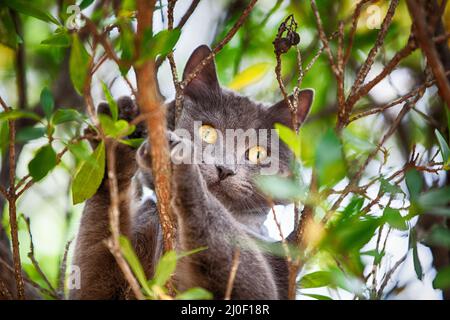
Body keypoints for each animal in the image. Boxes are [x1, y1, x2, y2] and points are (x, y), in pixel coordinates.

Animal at [71, 45, 312, 300]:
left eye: (258, 153)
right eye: (207, 132)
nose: (225, 169)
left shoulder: (277, 262)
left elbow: (256, 283)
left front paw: (181, 159)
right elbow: (92, 284)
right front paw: (117, 135)